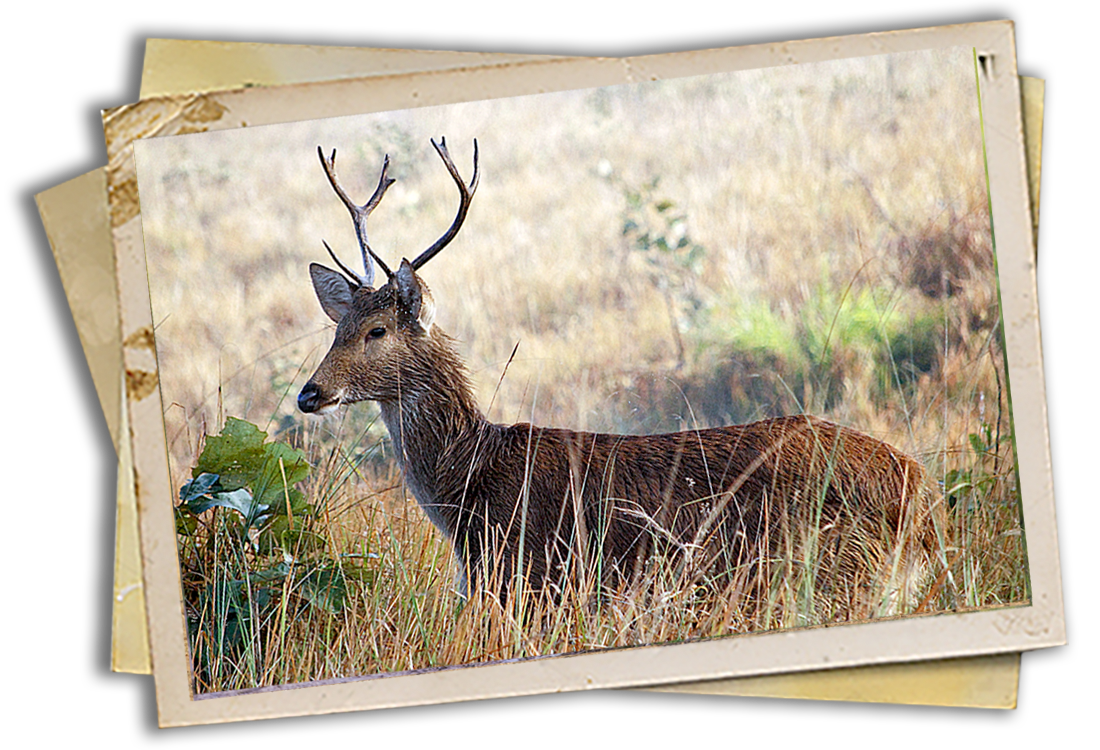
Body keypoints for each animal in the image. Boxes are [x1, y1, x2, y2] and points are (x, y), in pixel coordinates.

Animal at [297, 134, 950, 620]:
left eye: (377, 330)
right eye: (336, 325)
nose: (310, 393)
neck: (470, 484)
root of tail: (923, 498)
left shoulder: (534, 581)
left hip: (833, 573)